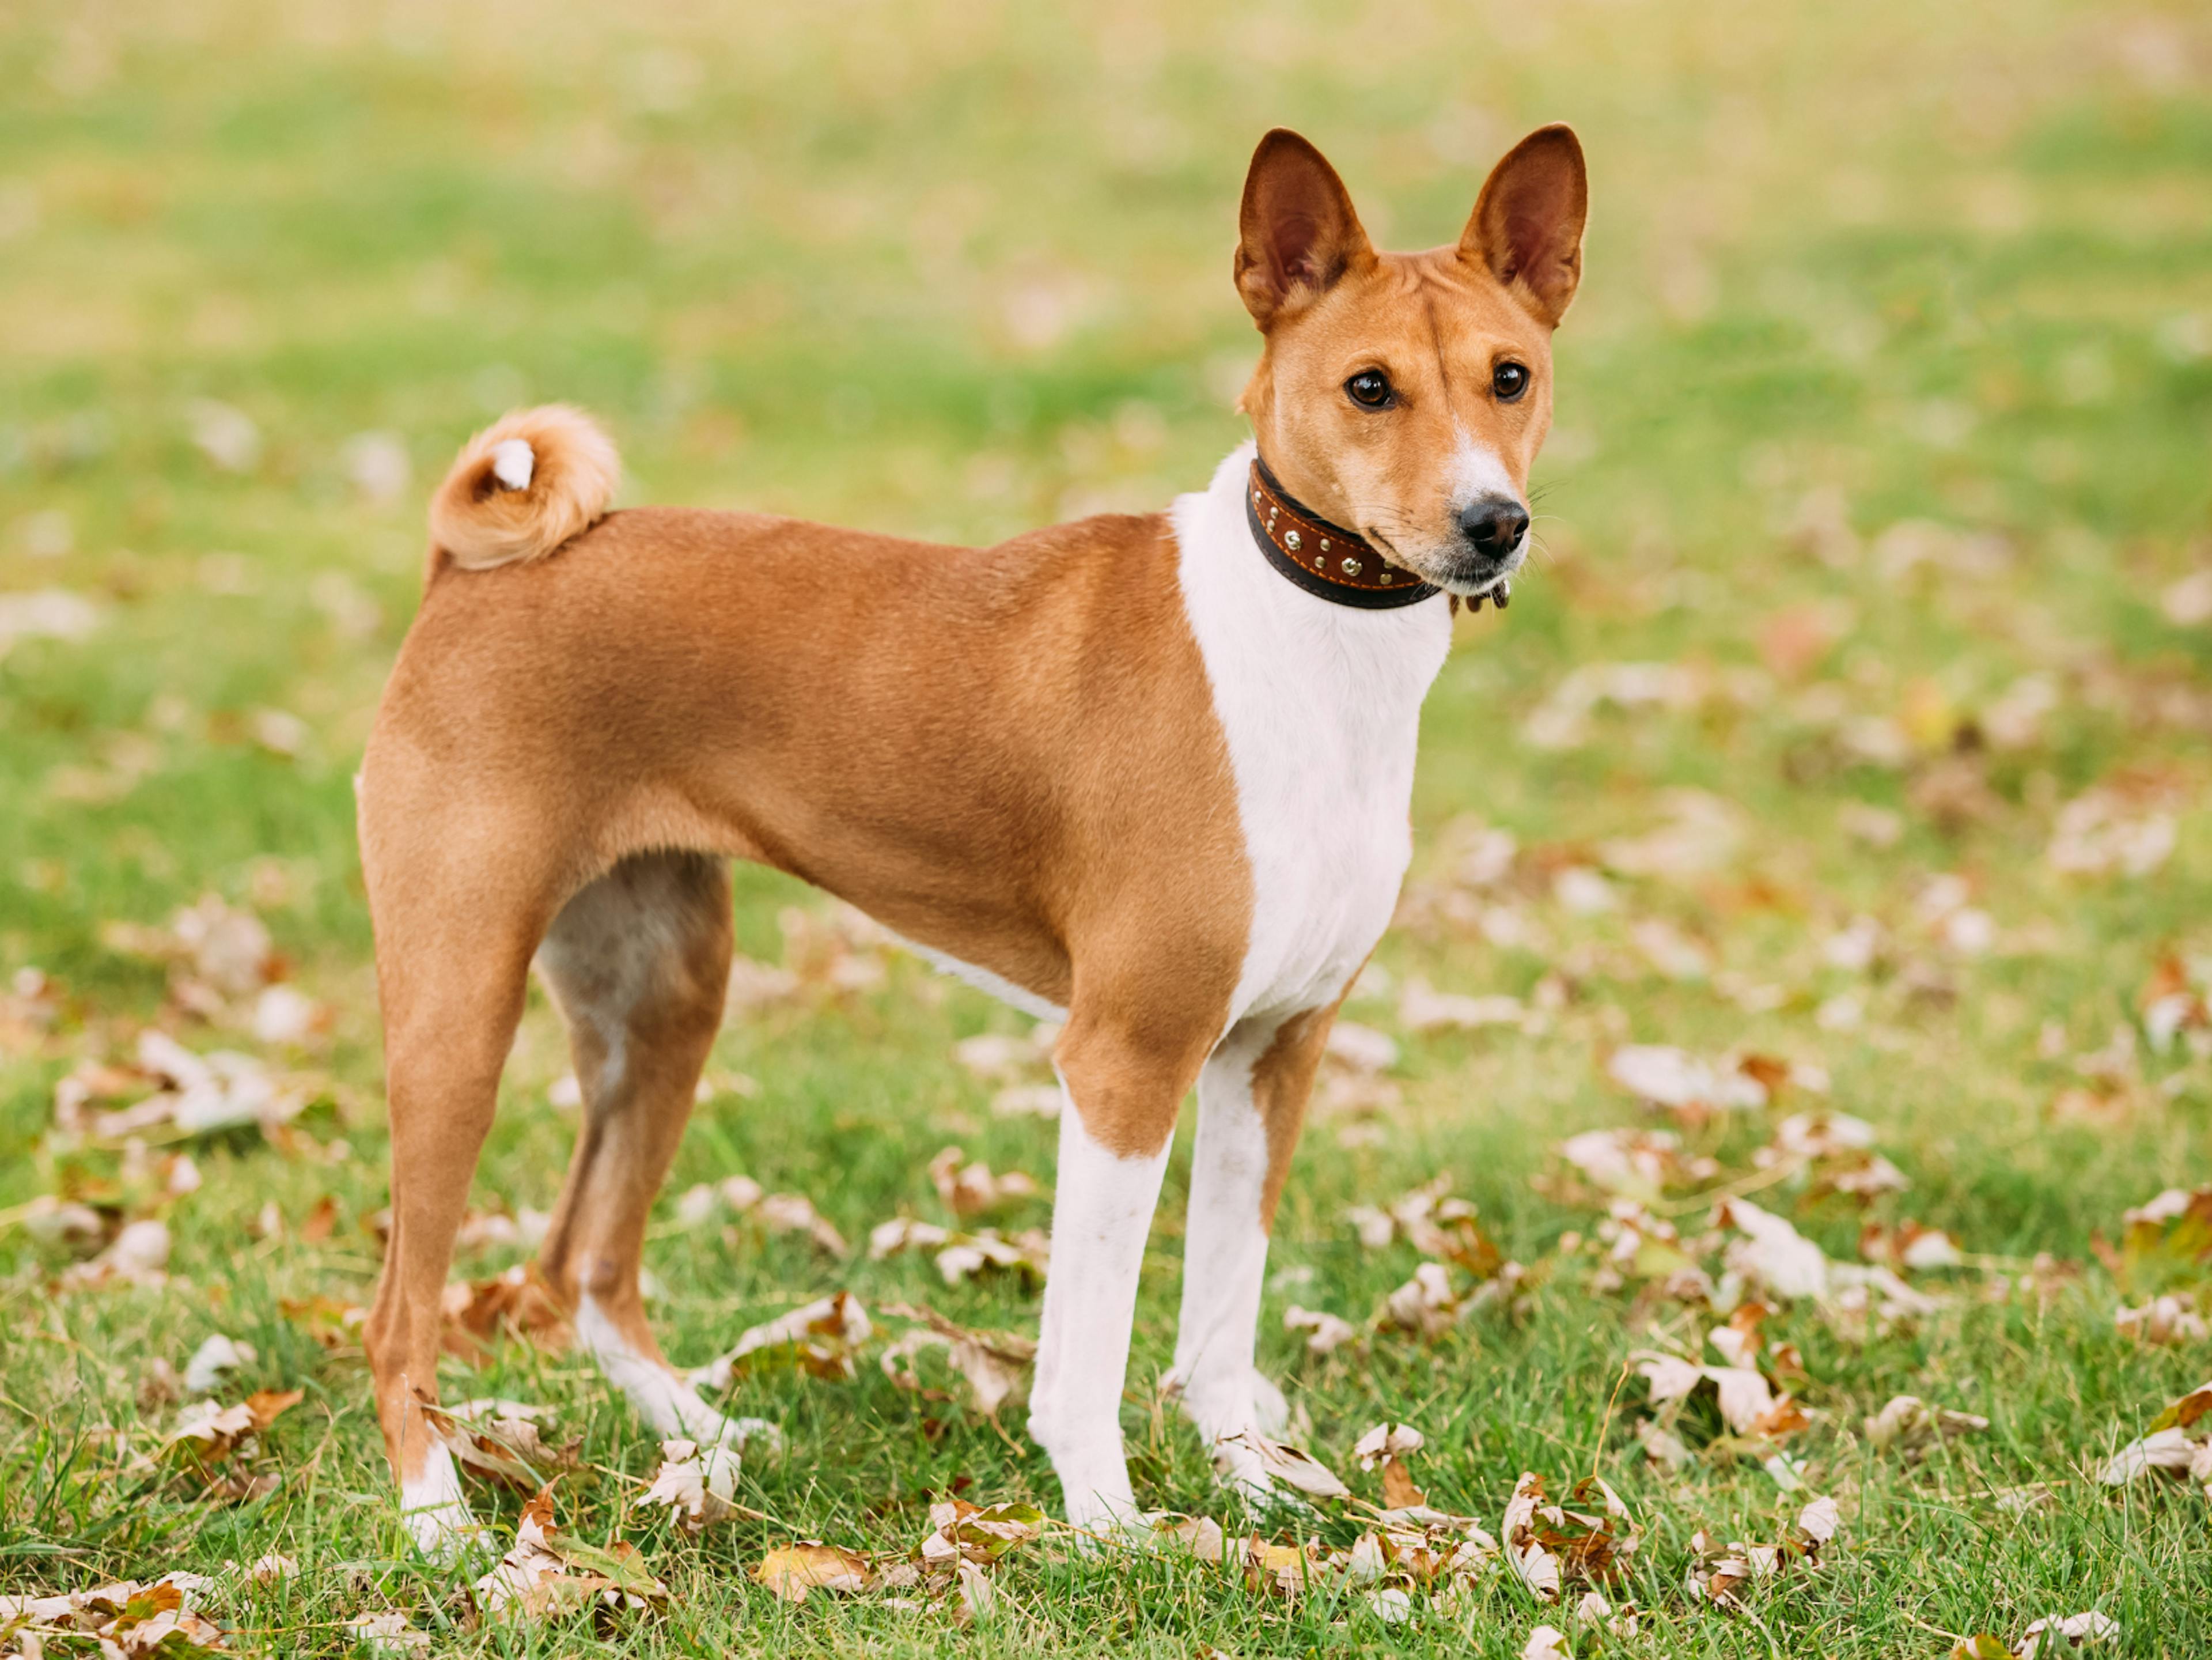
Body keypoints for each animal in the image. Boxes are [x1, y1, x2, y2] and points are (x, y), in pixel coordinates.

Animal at [354, 120, 1584, 1558]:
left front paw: (1254, 1487)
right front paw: (1108, 1523)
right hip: (458, 1017)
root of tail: (467, 572)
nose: (1491, 522)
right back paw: (442, 1521)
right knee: (399, 1312)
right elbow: (1090, 1345)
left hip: (664, 996)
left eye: (1511, 378)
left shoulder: (1273, 1050)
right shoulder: (1125, 1059)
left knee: (583, 1264)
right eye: (1369, 388)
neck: (1307, 648)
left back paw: (698, 1440)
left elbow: (1223, 1315)